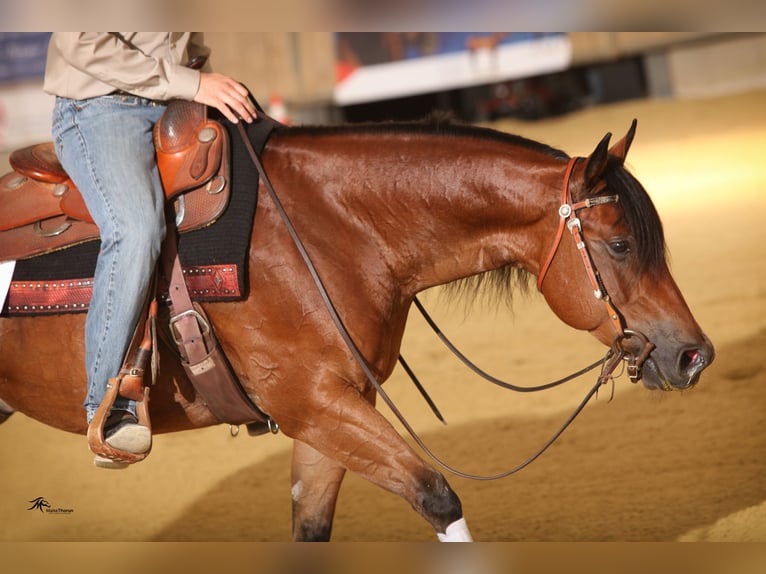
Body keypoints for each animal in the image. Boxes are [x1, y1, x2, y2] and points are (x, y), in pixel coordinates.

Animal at [0, 115, 712, 544]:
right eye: (620, 244)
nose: (694, 355)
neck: (326, 229)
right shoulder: (312, 404)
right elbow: (436, 496)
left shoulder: (333, 410)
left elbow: (312, 526)